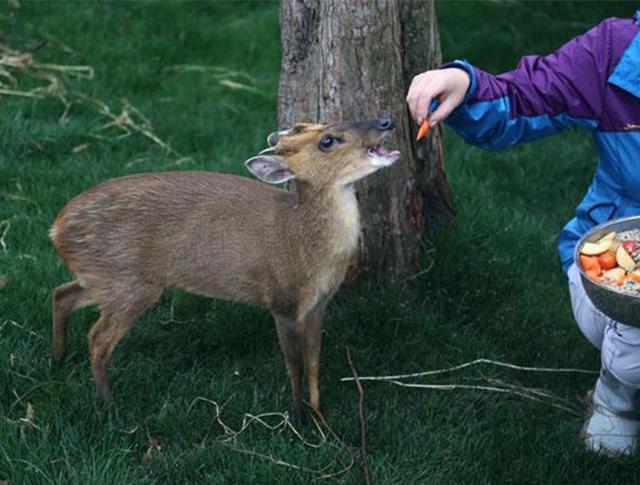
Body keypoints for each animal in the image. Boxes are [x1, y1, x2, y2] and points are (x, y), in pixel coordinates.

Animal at [51, 117, 400, 420]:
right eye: (327, 140)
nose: (387, 120)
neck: (303, 242)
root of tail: (56, 229)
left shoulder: (319, 304)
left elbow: (314, 361)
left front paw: (319, 413)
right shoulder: (282, 300)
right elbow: (296, 366)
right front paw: (300, 420)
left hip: (106, 277)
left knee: (62, 294)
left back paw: (58, 360)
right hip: (129, 282)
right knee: (97, 338)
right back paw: (108, 403)